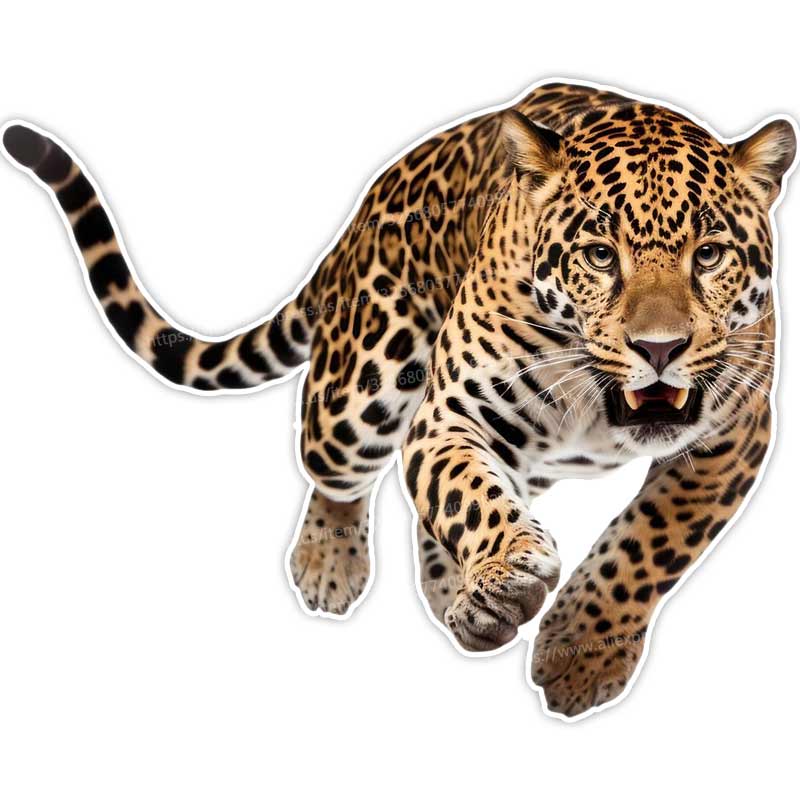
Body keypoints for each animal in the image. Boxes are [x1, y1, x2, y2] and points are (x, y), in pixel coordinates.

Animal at [3, 80, 794, 718]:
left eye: (709, 255)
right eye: (600, 255)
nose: (659, 349)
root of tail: (362, 213)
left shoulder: (734, 438)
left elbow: (650, 545)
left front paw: (578, 652)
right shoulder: (454, 415)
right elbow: (467, 493)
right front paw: (509, 575)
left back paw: (465, 602)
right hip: (364, 389)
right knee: (334, 473)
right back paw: (335, 564)